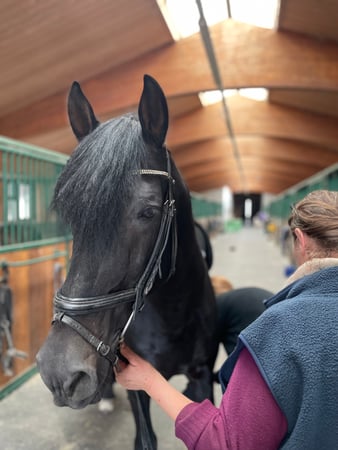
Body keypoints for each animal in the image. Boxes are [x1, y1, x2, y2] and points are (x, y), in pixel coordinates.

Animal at [37, 75, 217, 448]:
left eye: (147, 212)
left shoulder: (204, 375)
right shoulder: (139, 388)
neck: (174, 314)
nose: (59, 370)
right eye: (71, 215)